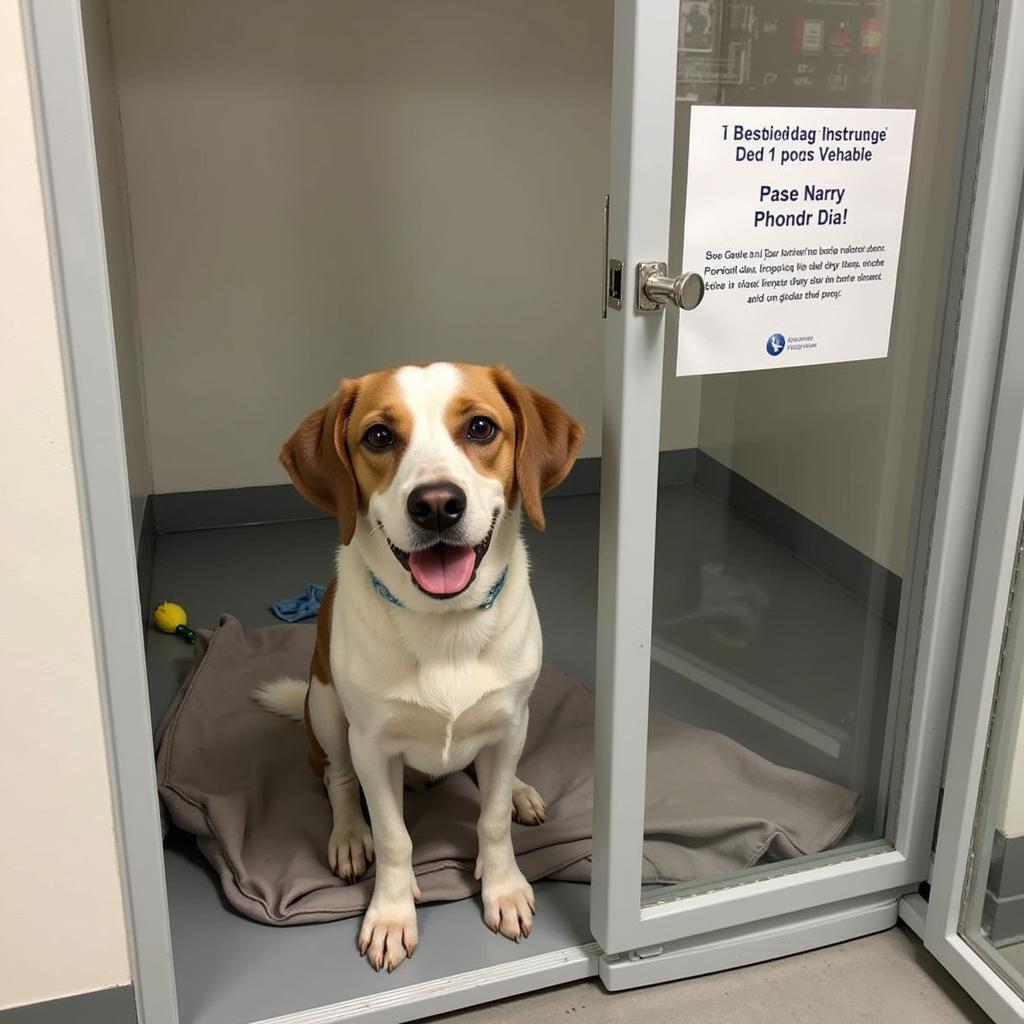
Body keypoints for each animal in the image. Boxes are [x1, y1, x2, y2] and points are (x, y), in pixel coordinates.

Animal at [253, 364, 585, 970]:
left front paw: (503, 887)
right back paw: (348, 836)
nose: (435, 504)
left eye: (481, 427)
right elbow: (394, 837)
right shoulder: (372, 744)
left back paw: (520, 789)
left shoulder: (510, 722)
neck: (444, 624)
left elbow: (491, 820)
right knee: (337, 780)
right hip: (327, 709)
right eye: (379, 436)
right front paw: (390, 913)